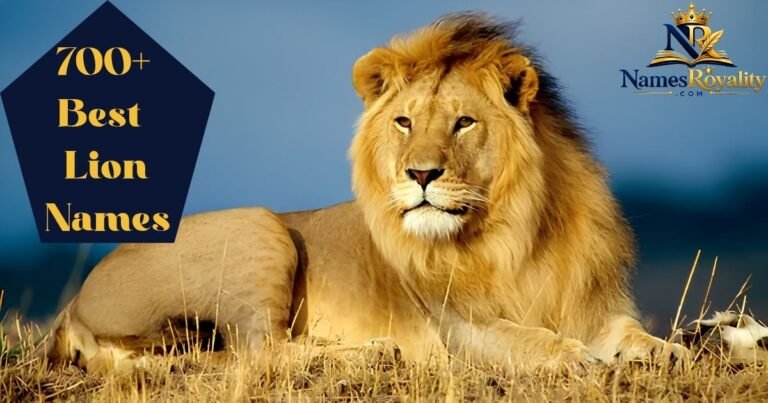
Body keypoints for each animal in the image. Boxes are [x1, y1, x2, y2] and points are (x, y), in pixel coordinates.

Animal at [42, 14, 687, 373]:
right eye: (404, 122)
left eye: (463, 123)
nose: (420, 175)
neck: (515, 231)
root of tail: (73, 301)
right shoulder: (458, 328)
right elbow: (525, 337)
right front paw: (572, 356)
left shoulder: (593, 304)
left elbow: (630, 333)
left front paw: (667, 351)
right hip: (260, 226)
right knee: (257, 351)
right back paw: (374, 353)